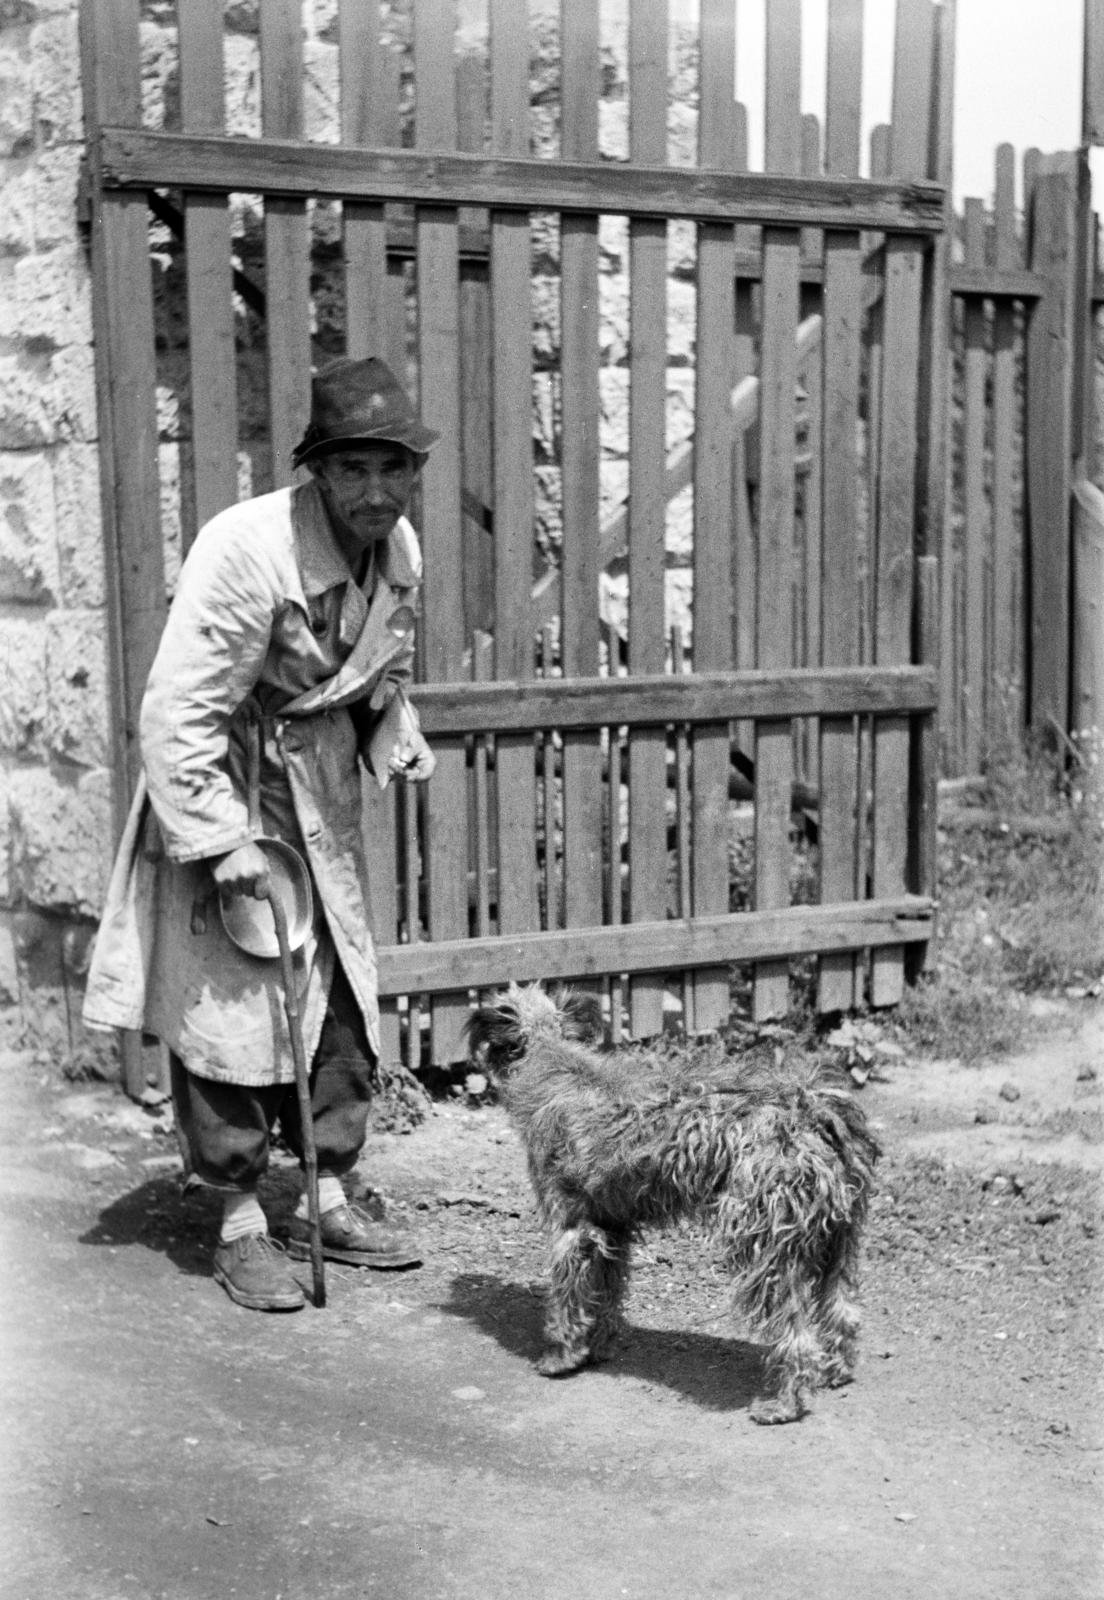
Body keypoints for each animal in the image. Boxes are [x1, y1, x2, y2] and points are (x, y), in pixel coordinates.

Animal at [464, 985, 876, 1427]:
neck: (553, 1057)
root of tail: (811, 1112)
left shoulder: (572, 1230)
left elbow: (568, 1300)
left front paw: (562, 1356)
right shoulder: (611, 1226)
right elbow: (605, 1294)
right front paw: (600, 1346)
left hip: (766, 1250)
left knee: (795, 1335)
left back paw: (783, 1404)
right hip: (838, 1241)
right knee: (843, 1311)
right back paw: (834, 1372)